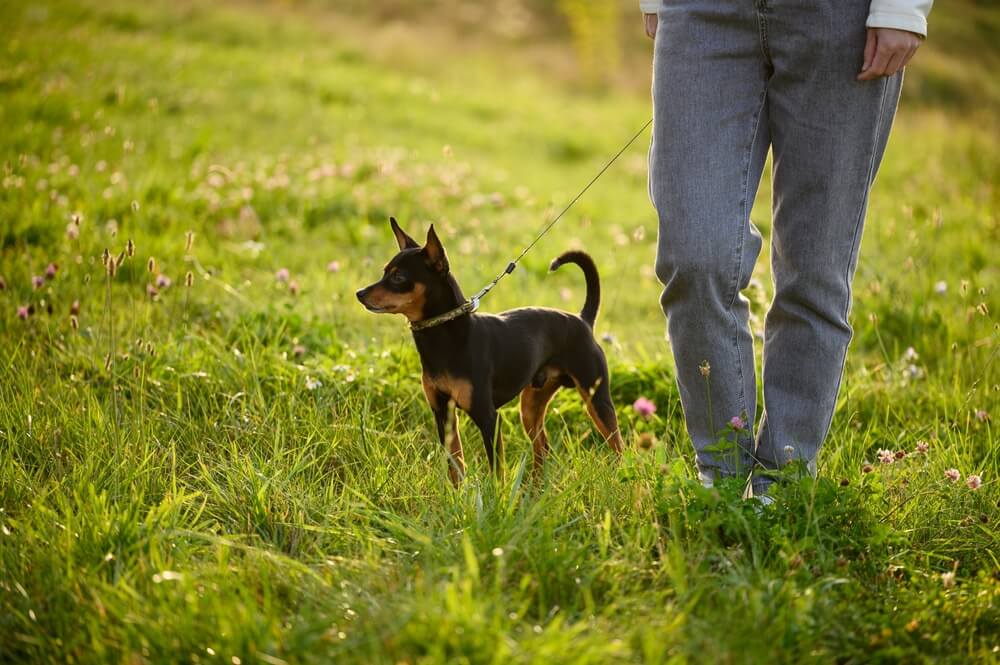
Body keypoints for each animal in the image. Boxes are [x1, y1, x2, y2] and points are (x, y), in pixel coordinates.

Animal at [360, 218, 624, 482]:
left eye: (398, 277)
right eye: (384, 272)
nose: (359, 293)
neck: (446, 337)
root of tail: (582, 320)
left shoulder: (488, 418)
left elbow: (497, 471)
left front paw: (497, 493)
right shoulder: (443, 414)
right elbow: (455, 466)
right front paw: (459, 492)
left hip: (597, 399)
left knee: (619, 447)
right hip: (531, 407)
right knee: (543, 448)